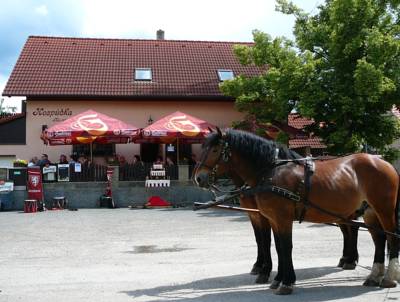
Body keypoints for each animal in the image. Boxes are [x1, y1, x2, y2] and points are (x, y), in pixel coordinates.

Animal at [195, 129, 400, 294]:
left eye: (215, 150)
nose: (198, 178)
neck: (271, 172)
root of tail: (382, 161)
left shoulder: (281, 218)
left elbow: (285, 247)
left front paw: (285, 282)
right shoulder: (272, 219)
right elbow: (277, 247)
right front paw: (278, 279)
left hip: (383, 209)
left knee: (391, 237)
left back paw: (388, 277)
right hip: (369, 212)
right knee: (379, 239)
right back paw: (373, 275)